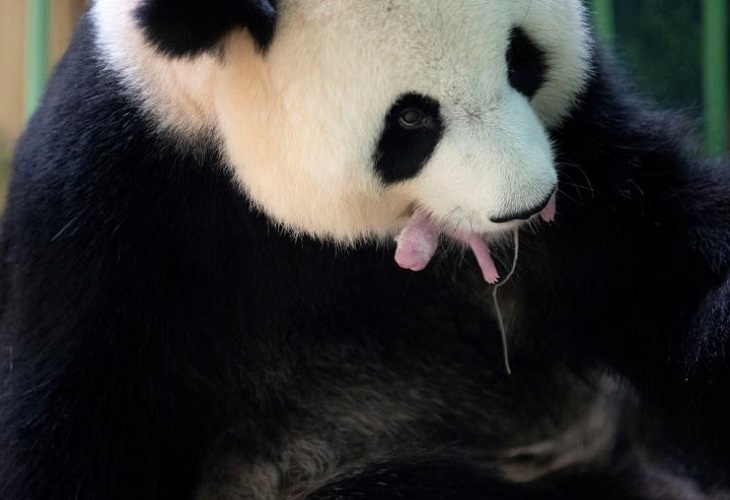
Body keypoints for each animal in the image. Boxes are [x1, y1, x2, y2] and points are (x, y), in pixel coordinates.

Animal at [1, 0, 728, 498]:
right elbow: (79, 422)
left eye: (522, 60)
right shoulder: (112, 215)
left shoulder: (587, 156)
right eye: (411, 117)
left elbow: (651, 261)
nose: (526, 204)